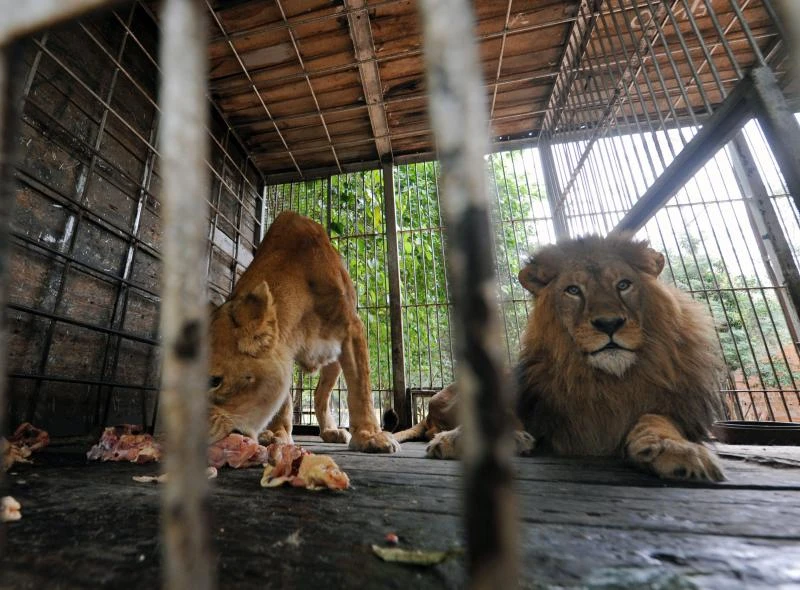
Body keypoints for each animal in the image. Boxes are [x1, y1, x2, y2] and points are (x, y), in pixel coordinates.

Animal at [207, 211, 399, 454]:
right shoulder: (285, 352)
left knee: (321, 395)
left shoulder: (352, 328)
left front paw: (370, 436)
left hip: (333, 361)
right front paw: (277, 434)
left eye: (215, 381)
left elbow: (361, 388)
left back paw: (331, 431)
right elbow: (284, 401)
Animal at [428, 234, 726, 481]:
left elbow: (656, 419)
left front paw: (676, 450)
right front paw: (462, 438)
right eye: (573, 290)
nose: (609, 323)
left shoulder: (680, 408)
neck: (608, 381)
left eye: (623, 285)